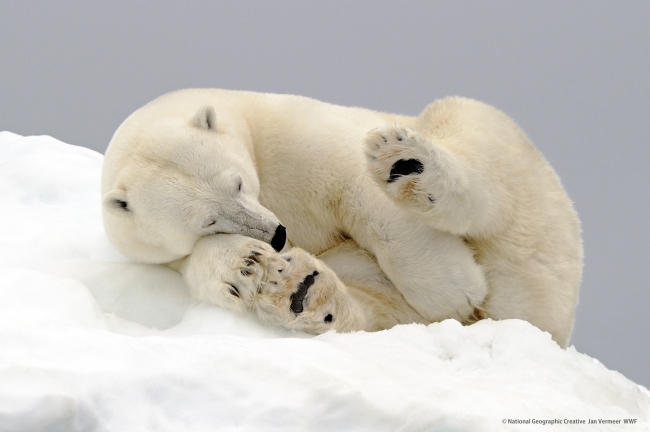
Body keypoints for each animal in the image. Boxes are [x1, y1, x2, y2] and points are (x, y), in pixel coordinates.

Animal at [102, 88, 584, 348]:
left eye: (236, 183)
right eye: (209, 220)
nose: (279, 234)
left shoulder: (294, 136)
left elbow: (359, 188)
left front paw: (454, 289)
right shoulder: (161, 255)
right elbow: (204, 267)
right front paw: (249, 266)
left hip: (528, 192)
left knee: (472, 139)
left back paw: (408, 163)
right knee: (374, 304)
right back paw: (301, 290)